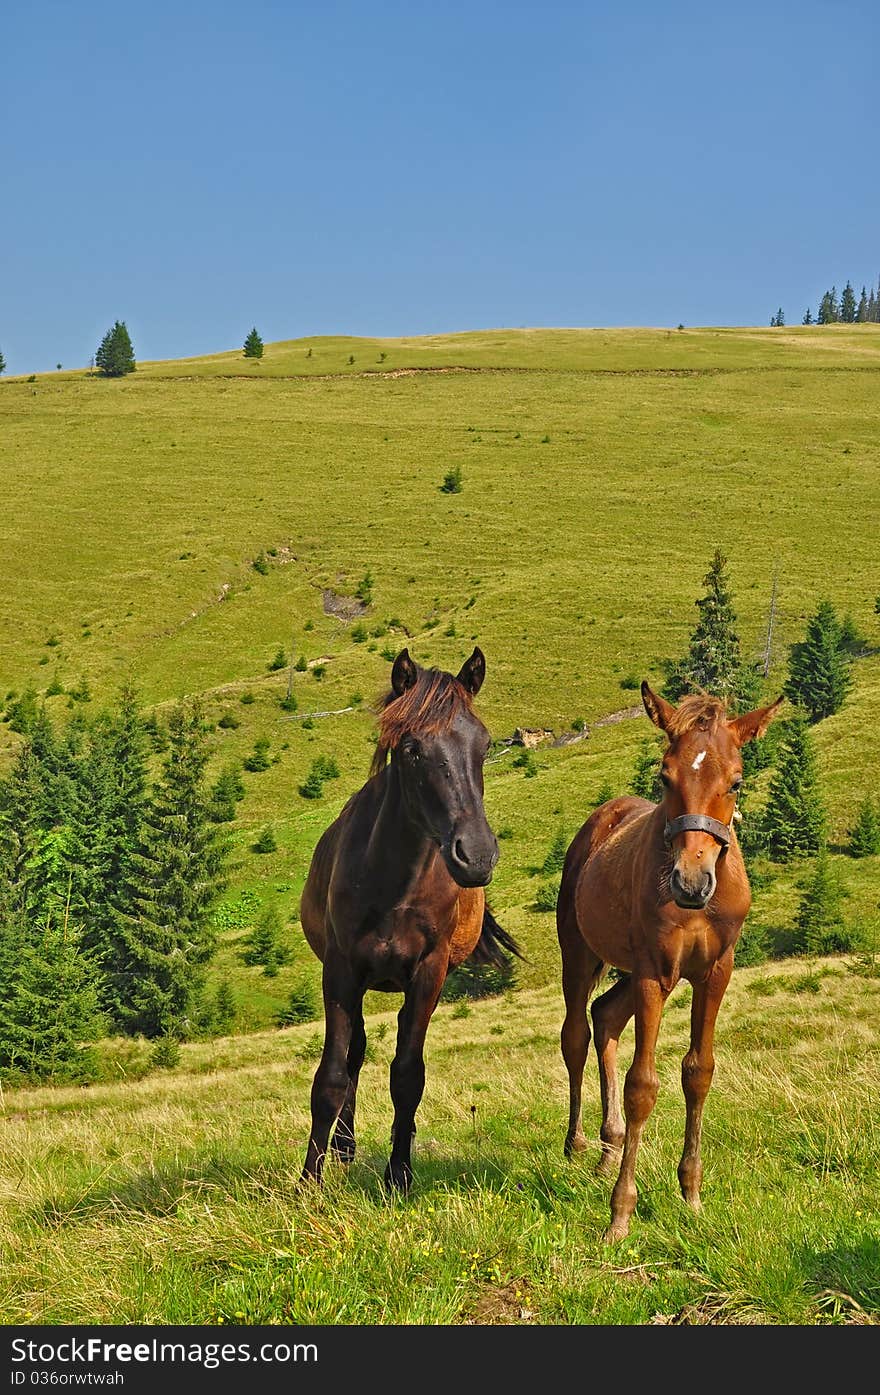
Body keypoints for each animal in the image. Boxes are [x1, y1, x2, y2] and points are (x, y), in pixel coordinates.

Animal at [302, 647, 524, 1194]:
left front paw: (399, 1176)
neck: (394, 886)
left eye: (484, 743)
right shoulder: (341, 971)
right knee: (355, 1055)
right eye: (411, 749)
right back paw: (343, 1147)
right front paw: (308, 1182)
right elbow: (331, 1077)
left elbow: (408, 1076)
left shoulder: (428, 975)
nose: (476, 855)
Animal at [557, 680, 786, 1238]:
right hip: (582, 953)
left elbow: (698, 1072)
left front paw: (691, 1195)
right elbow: (643, 1085)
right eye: (665, 776)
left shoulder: (714, 973)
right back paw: (577, 1144)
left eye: (737, 782)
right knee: (576, 1034)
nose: (690, 881)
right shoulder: (653, 973)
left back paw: (608, 1146)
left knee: (605, 1016)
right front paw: (621, 1213)